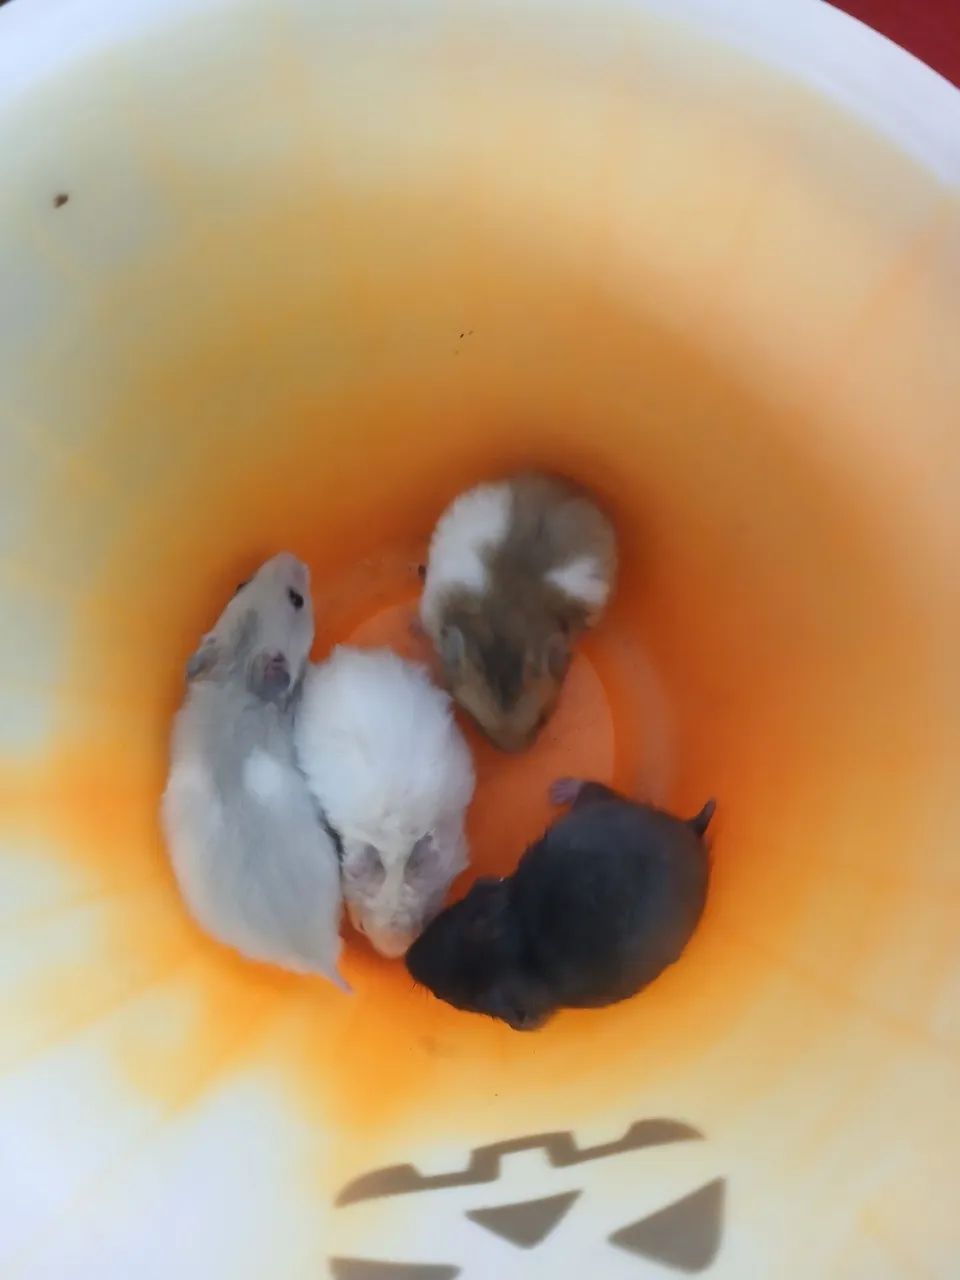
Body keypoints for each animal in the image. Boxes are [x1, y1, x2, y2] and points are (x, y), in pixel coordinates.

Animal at [405, 778, 714, 1030]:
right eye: (440, 925)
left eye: (448, 998)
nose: (407, 959)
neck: (521, 942)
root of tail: (690, 830)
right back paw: (561, 790)